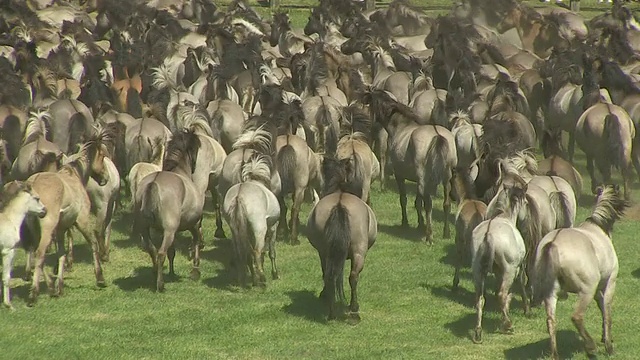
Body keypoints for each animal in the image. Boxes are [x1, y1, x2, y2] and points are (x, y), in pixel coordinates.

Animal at [222, 153, 280, 288]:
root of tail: (239, 195)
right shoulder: (273, 227)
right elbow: (271, 252)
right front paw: (275, 274)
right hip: (259, 229)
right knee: (257, 252)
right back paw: (262, 279)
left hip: (236, 230)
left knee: (242, 252)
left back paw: (246, 279)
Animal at [308, 158, 378, 320]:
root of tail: (340, 204)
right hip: (357, 252)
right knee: (353, 276)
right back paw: (353, 308)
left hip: (327, 252)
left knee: (331, 277)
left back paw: (332, 311)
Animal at [528, 186, 632, 360]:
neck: (596, 228)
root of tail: (552, 244)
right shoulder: (609, 282)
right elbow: (607, 313)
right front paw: (609, 346)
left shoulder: (597, 290)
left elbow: (602, 308)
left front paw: (605, 338)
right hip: (586, 290)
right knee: (577, 317)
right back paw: (590, 347)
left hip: (551, 294)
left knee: (551, 321)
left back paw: (555, 354)